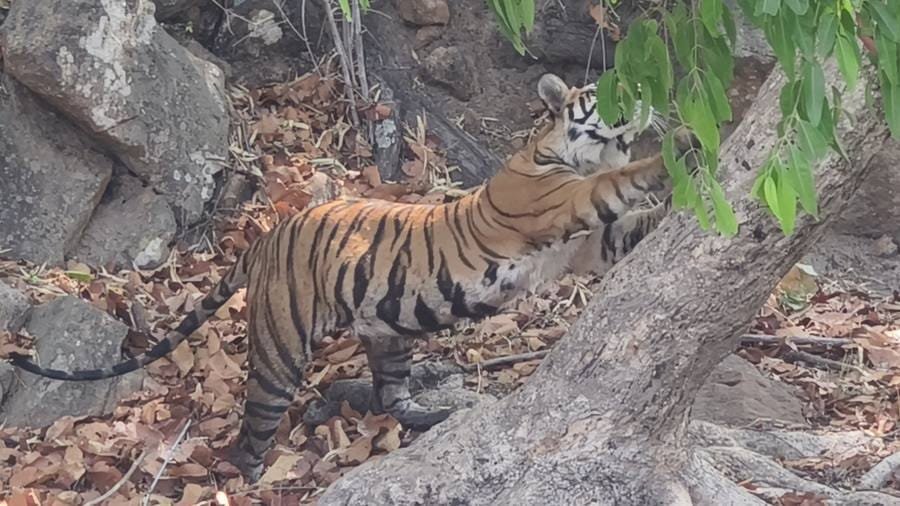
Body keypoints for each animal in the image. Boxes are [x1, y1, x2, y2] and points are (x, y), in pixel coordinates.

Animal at [9, 73, 690, 480]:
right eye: (607, 86)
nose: (652, 92)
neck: (569, 150)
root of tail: (264, 238)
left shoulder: (587, 246)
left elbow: (634, 226)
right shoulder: (562, 207)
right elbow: (620, 183)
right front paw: (682, 146)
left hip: (388, 334)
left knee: (392, 397)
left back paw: (433, 416)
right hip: (280, 352)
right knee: (250, 439)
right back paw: (252, 476)